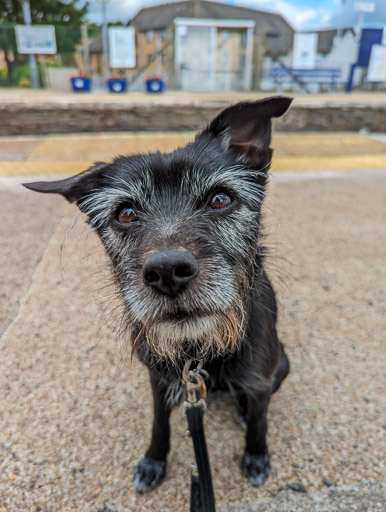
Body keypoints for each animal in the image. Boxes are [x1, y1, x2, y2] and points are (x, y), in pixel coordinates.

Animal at [24, 95, 292, 492]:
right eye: (126, 213)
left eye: (220, 199)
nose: (167, 272)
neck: (197, 351)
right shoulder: (158, 379)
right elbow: (159, 424)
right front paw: (153, 461)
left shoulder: (259, 382)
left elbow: (260, 423)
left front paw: (256, 455)